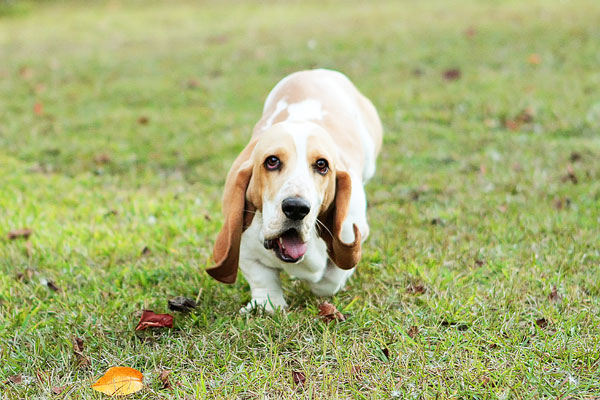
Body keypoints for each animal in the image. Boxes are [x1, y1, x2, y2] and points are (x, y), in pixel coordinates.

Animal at [209, 69, 382, 312]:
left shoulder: (353, 233)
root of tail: (314, 71)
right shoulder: (242, 245)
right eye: (272, 161)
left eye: (322, 165)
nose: (296, 208)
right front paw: (268, 306)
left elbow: (328, 281)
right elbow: (262, 279)